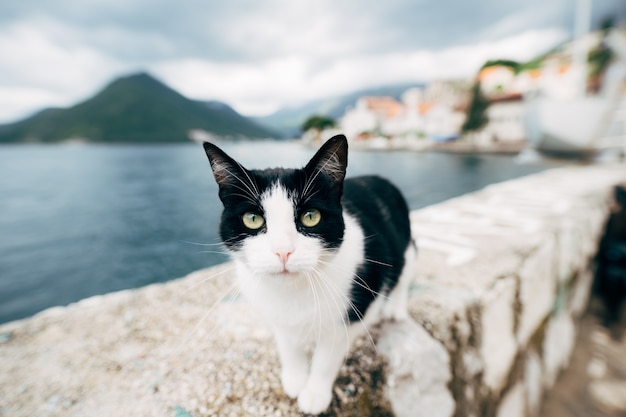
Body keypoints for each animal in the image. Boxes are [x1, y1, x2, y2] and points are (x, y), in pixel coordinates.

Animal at [202, 134, 412, 412]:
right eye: (252, 219)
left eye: (311, 217)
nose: (283, 251)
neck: (293, 291)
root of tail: (380, 178)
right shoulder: (277, 316)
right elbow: (288, 344)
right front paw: (295, 378)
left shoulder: (349, 315)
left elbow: (326, 358)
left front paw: (314, 394)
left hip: (406, 245)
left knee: (404, 272)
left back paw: (394, 307)